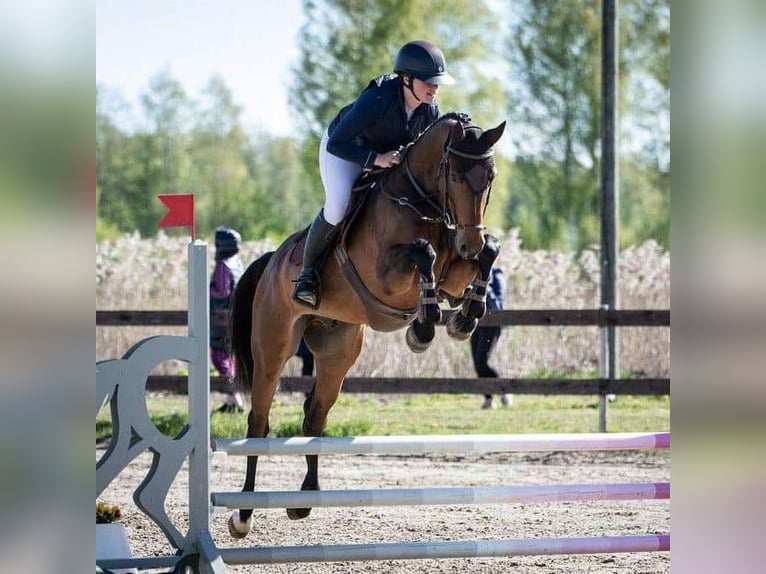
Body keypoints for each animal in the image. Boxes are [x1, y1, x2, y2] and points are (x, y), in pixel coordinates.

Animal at [225, 112, 508, 540]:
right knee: (258, 421)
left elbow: (488, 254)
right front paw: (422, 330)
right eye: (456, 176)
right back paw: (243, 514)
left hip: (337, 351)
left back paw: (303, 501)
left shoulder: (455, 273)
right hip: (272, 348)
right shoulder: (387, 276)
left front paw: (465, 316)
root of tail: (273, 260)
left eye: (489, 177)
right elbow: (422, 254)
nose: (467, 244)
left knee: (315, 416)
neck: (423, 202)